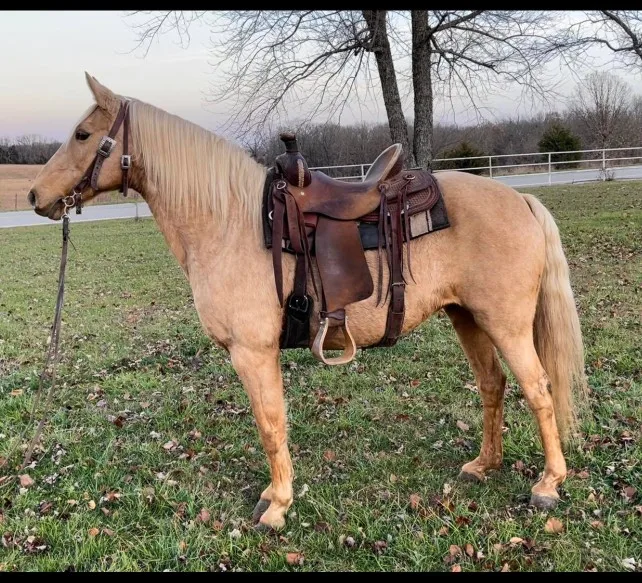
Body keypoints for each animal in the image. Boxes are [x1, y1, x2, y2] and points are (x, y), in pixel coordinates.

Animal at [27, 72, 588, 531]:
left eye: (82, 134)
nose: (35, 196)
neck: (229, 223)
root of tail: (521, 199)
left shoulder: (253, 353)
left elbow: (270, 425)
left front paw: (277, 506)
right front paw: (274, 496)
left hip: (505, 322)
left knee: (538, 389)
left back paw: (548, 484)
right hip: (467, 316)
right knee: (493, 385)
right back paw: (484, 465)